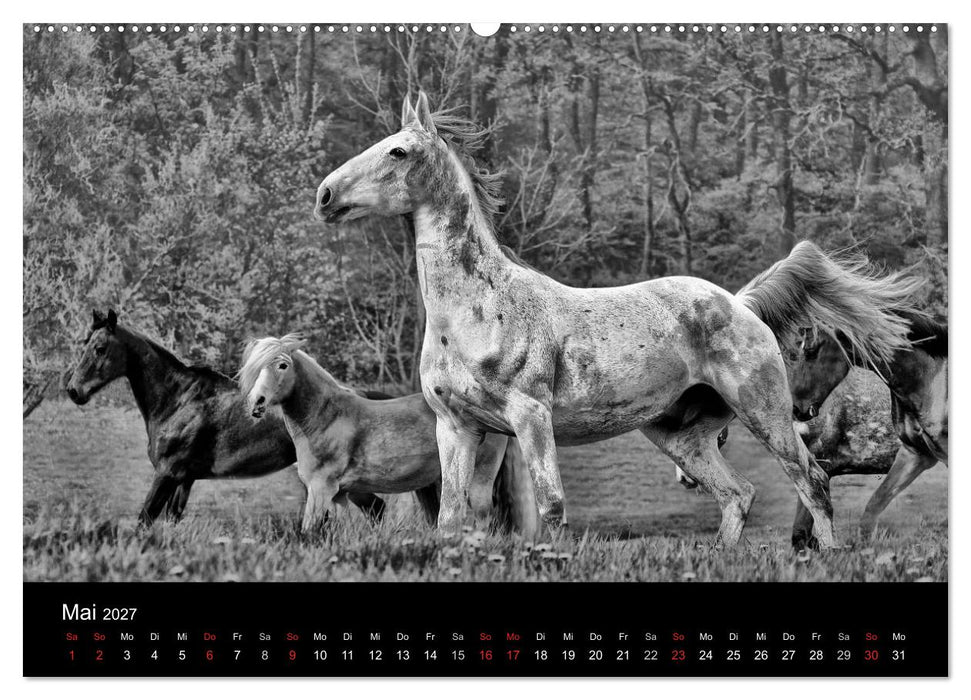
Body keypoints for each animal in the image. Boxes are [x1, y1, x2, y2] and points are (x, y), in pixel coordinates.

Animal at [65, 310, 392, 524]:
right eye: (84, 344)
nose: (73, 391)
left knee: (375, 509)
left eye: (100, 348)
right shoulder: (184, 480)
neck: (178, 400)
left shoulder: (167, 474)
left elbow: (144, 520)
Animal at [237, 334, 537, 534]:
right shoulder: (340, 494)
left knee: (484, 517)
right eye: (255, 367)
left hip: (479, 480)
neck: (327, 418)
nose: (257, 403)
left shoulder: (321, 489)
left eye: (283, 365)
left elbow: (309, 531)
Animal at [314, 91, 922, 548]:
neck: (475, 312)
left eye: (398, 151)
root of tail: (741, 304)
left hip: (765, 411)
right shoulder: (458, 426)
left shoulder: (531, 417)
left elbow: (551, 506)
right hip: (680, 435)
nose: (324, 195)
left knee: (810, 481)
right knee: (738, 494)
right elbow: (452, 518)